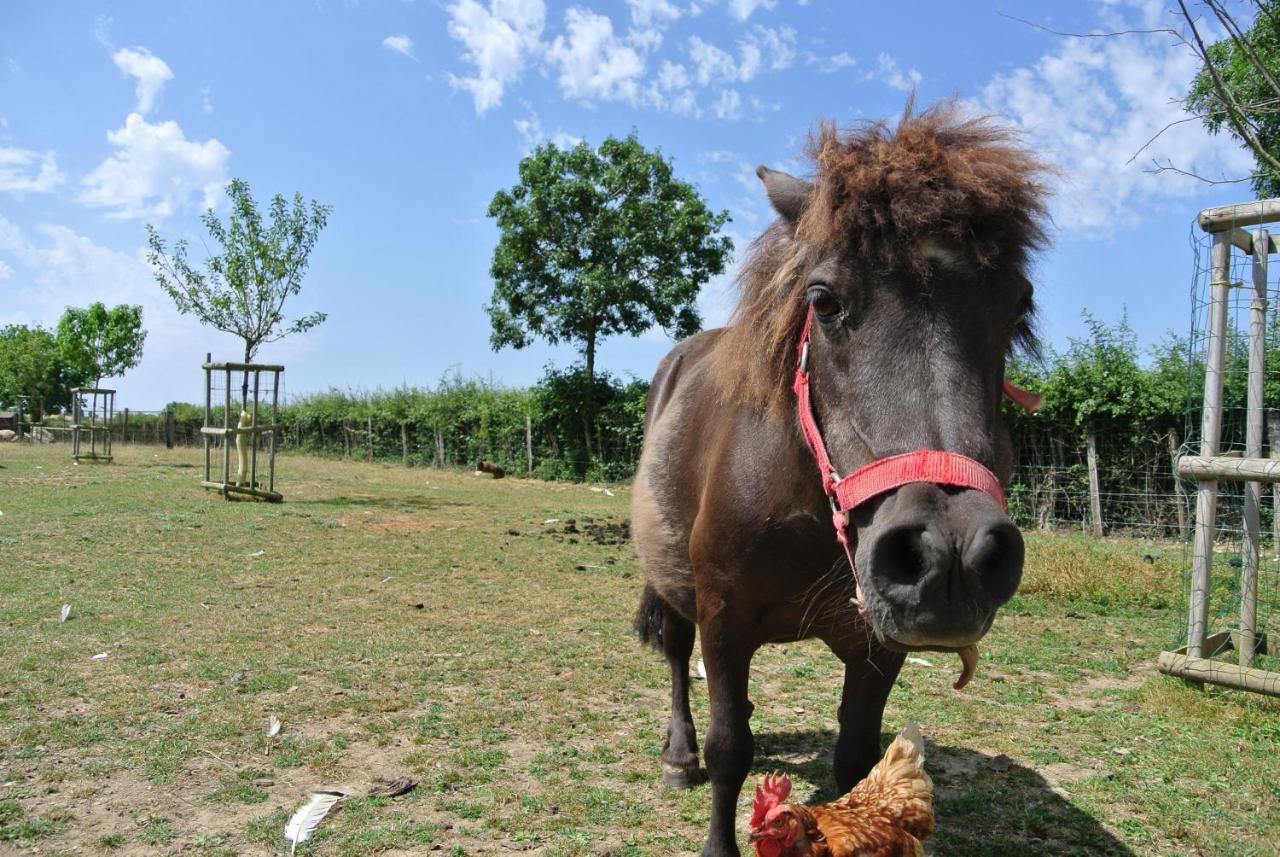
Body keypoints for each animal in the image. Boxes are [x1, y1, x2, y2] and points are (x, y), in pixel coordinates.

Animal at [632, 102, 1049, 857]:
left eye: (1019, 307)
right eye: (822, 300)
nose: (950, 557)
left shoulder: (876, 643)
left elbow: (857, 760)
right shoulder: (722, 620)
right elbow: (729, 749)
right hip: (671, 581)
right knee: (677, 657)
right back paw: (678, 755)